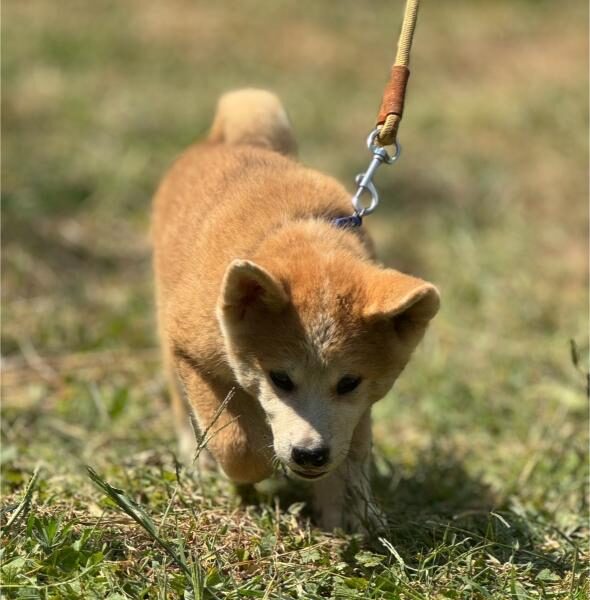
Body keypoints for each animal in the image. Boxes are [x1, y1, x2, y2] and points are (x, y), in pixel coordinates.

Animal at [153, 88, 440, 528]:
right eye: (280, 379)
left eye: (348, 382)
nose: (309, 454)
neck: (297, 228)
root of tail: (226, 140)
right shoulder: (192, 352)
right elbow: (238, 444)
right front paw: (255, 467)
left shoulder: (355, 412)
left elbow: (353, 450)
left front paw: (349, 516)